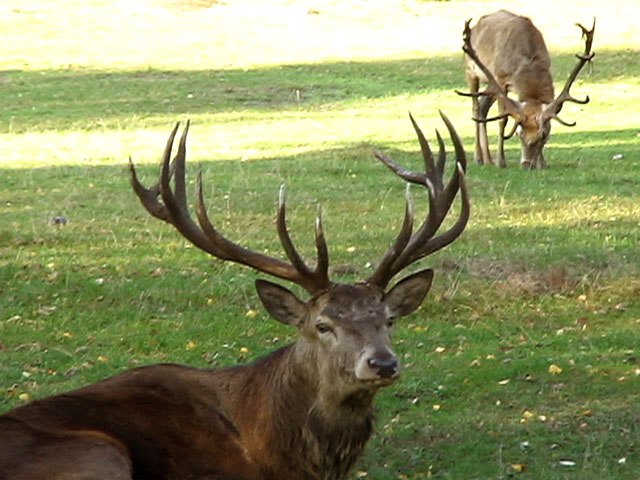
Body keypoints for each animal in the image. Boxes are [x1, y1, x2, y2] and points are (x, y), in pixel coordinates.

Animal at [456, 8, 596, 170]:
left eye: (543, 135)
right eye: (519, 134)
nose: (526, 163)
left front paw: (542, 163)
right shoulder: (500, 80)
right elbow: (502, 120)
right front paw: (500, 161)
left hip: (490, 85)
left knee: (482, 108)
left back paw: (488, 159)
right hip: (471, 71)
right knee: (475, 106)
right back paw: (479, 158)